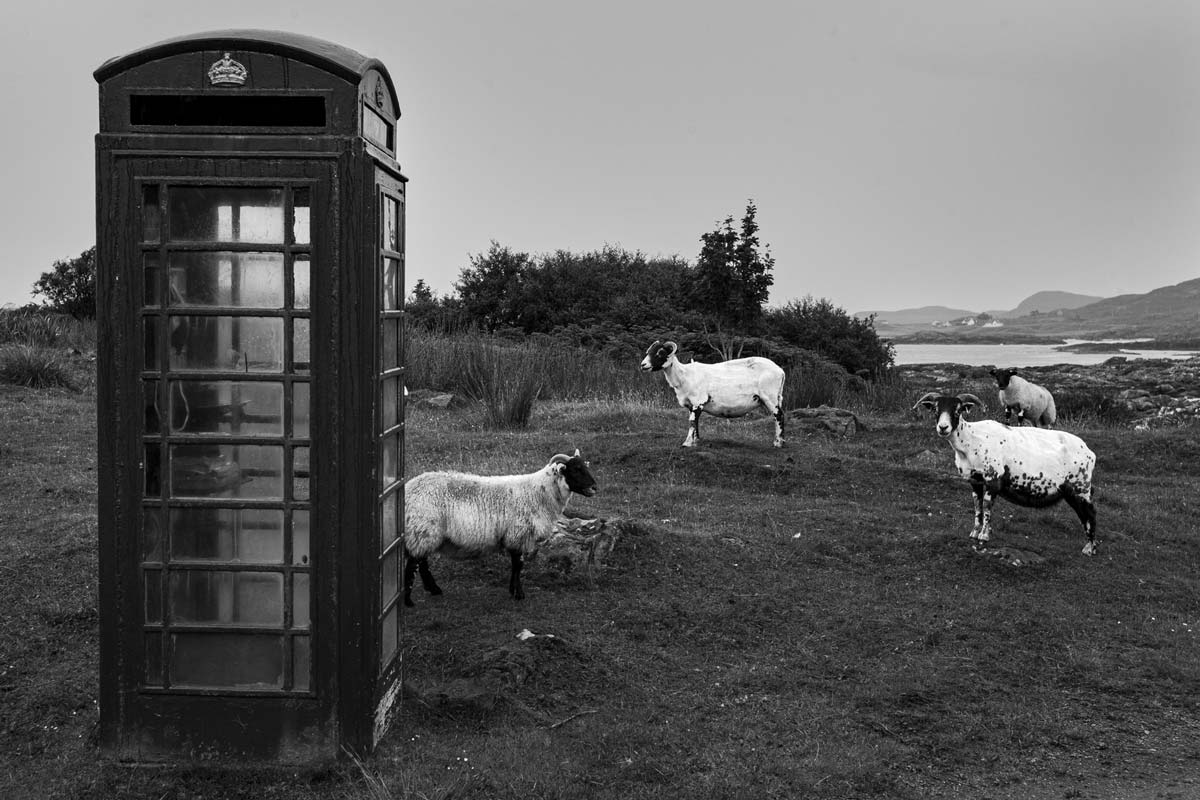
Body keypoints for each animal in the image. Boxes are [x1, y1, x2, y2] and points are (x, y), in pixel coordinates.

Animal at [400, 450, 597, 606]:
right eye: (576, 469)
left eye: (585, 466)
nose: (595, 487)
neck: (539, 492)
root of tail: (409, 489)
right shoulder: (519, 534)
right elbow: (518, 565)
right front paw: (519, 594)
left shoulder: (515, 537)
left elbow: (515, 565)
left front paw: (512, 590)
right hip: (422, 529)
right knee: (412, 565)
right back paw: (409, 601)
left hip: (424, 533)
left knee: (422, 562)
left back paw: (434, 589)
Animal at [638, 340, 787, 448]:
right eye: (648, 351)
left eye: (660, 352)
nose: (643, 365)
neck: (684, 376)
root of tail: (780, 371)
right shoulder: (691, 404)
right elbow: (695, 422)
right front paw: (696, 441)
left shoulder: (698, 401)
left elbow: (692, 421)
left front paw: (687, 443)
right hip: (775, 397)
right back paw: (780, 441)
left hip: (770, 396)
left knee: (779, 415)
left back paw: (778, 443)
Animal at [907, 393, 1099, 556]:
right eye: (935, 410)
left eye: (958, 411)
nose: (943, 427)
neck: (971, 441)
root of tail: (1089, 452)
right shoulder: (975, 481)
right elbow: (977, 505)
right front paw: (974, 532)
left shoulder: (993, 479)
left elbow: (987, 506)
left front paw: (984, 535)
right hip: (1073, 490)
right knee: (1085, 514)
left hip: (1080, 486)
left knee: (1090, 513)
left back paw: (1090, 548)